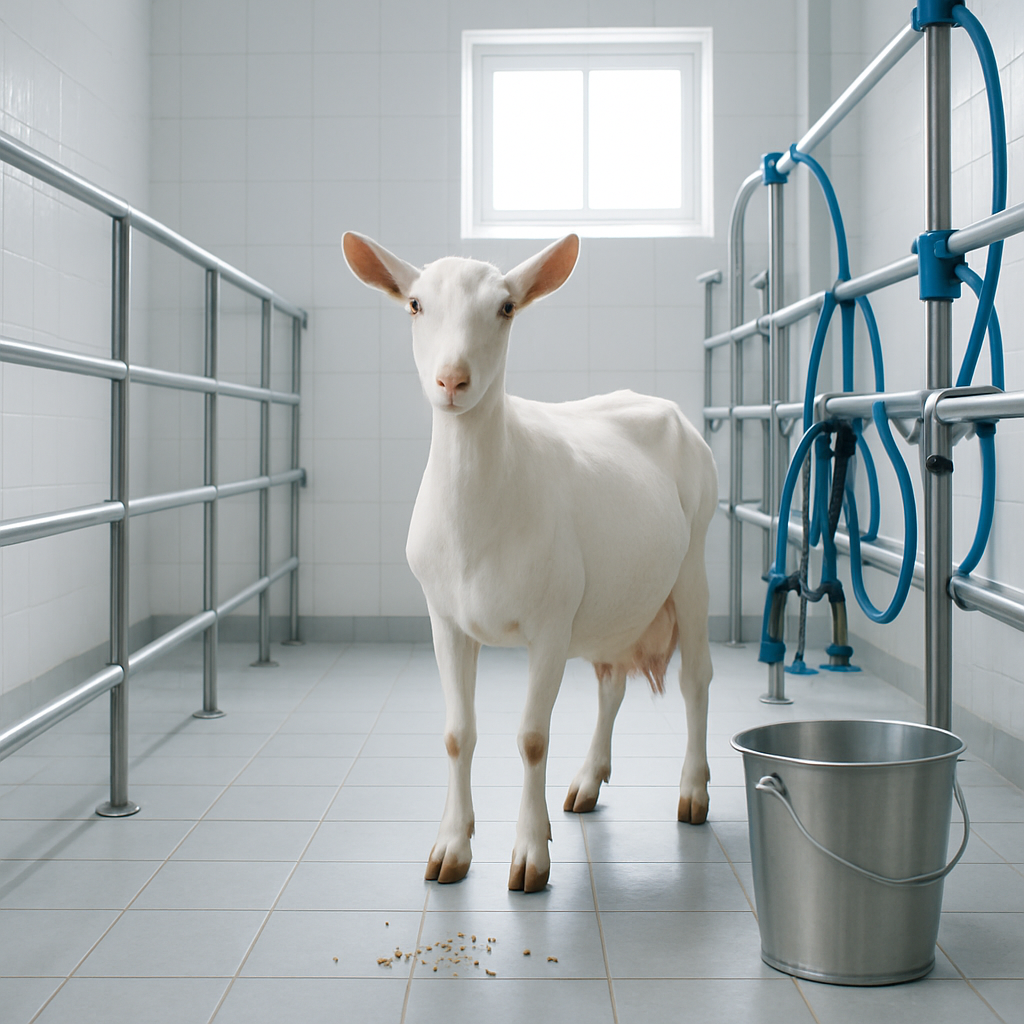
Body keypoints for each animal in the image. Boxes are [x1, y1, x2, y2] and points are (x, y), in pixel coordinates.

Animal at [342, 232, 717, 892]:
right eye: (415, 304)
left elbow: (533, 738)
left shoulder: (550, 623)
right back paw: (587, 783)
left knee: (696, 678)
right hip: (612, 601)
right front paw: (451, 847)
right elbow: (457, 734)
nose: (452, 380)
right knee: (611, 684)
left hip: (692, 562)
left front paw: (529, 857)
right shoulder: (445, 619)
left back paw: (693, 793)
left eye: (506, 307)